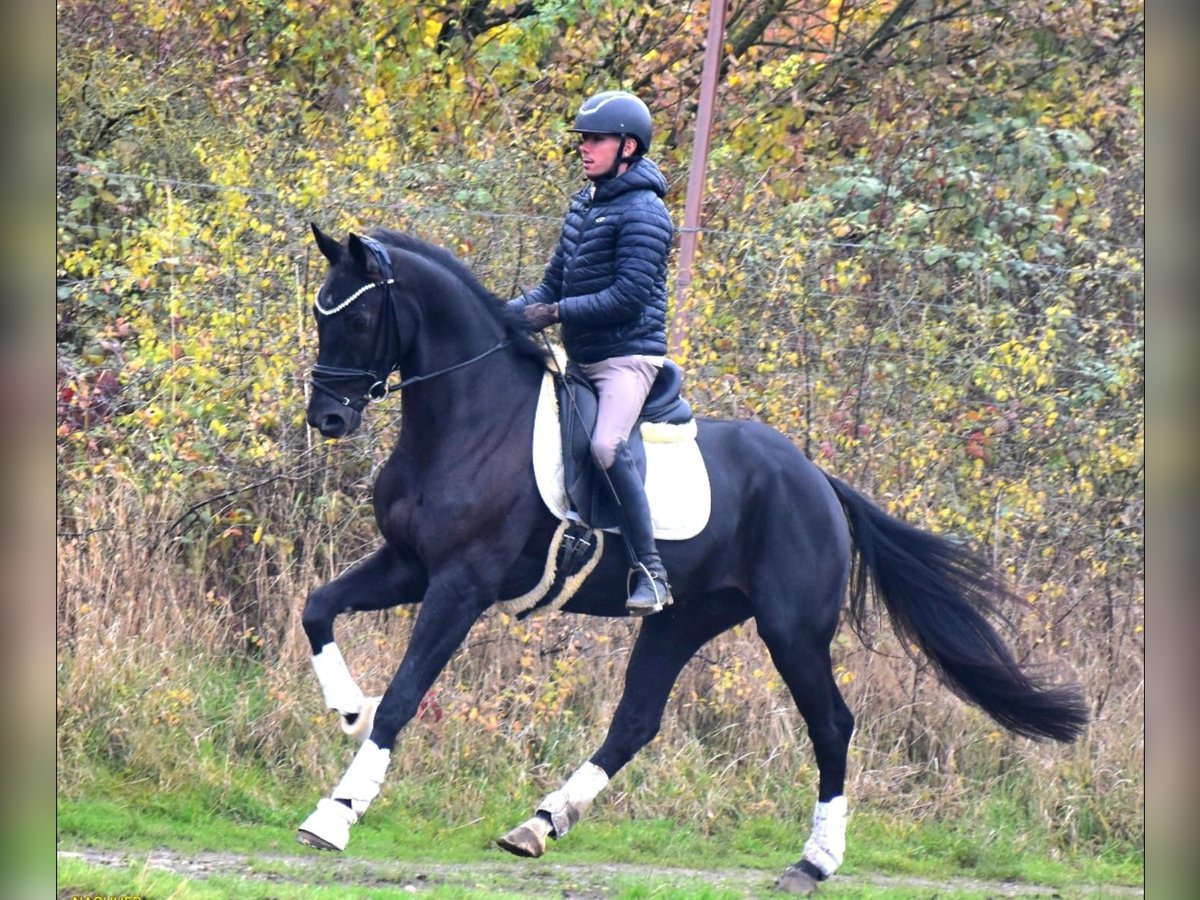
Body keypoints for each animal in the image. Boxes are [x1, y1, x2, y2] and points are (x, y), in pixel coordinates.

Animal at [297, 225, 1089, 897]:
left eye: (358, 320)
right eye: (319, 313)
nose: (327, 418)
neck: (470, 417)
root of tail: (815, 478)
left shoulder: (461, 583)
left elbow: (405, 693)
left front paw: (337, 812)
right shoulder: (409, 564)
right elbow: (318, 610)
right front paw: (347, 707)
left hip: (792, 631)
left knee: (831, 725)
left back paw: (813, 862)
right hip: (683, 620)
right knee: (636, 721)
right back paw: (541, 823)